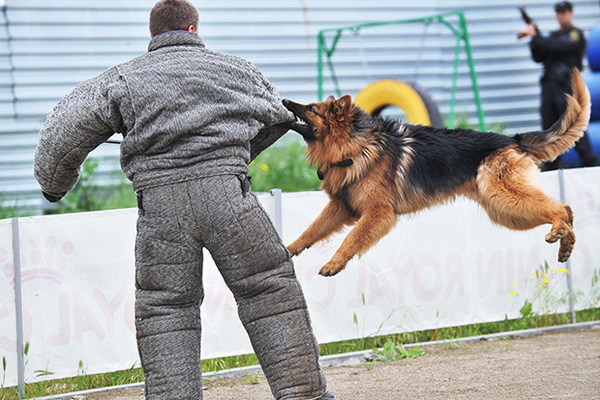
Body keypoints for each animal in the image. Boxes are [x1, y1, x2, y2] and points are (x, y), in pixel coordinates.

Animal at [282, 69, 592, 276]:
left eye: (311, 109)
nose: (284, 100)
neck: (353, 146)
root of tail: (512, 139)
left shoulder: (378, 213)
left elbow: (351, 239)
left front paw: (333, 264)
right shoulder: (341, 207)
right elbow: (311, 230)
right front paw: (288, 249)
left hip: (504, 197)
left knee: (561, 208)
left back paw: (559, 232)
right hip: (505, 212)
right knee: (567, 211)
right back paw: (566, 245)